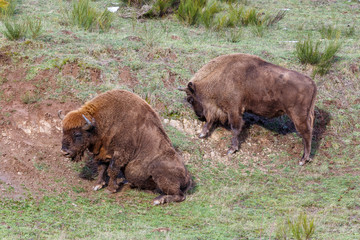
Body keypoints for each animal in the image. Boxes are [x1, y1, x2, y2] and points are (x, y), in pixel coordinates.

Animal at [59, 89, 193, 204]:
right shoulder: (103, 153)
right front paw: (98, 185)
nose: (64, 152)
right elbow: (102, 168)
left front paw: (111, 189)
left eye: (77, 134)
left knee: (180, 195)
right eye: (63, 131)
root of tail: (188, 177)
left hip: (160, 175)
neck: (99, 124)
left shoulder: (120, 154)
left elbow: (112, 169)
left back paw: (158, 200)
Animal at [179, 53, 316, 165]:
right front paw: (202, 134)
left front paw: (231, 150)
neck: (222, 75)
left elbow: (235, 128)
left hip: (298, 116)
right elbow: (211, 121)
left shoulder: (234, 110)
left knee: (306, 134)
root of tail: (312, 83)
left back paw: (302, 160)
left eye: (190, 99)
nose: (199, 116)